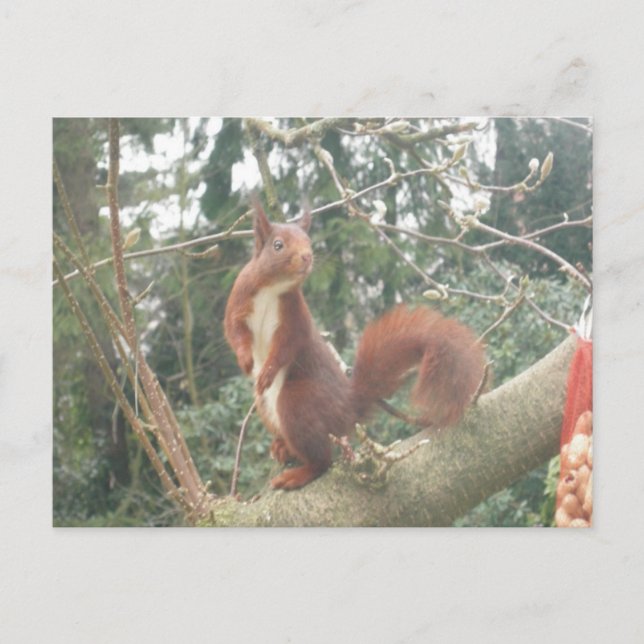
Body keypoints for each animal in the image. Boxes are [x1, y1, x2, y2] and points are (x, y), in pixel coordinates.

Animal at [224, 199, 486, 490]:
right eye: (278, 245)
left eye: (309, 241)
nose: (307, 257)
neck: (273, 289)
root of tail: (346, 409)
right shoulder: (239, 302)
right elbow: (234, 333)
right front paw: (246, 360)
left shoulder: (294, 319)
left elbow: (286, 347)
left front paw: (267, 371)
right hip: (266, 407)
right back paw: (283, 448)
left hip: (297, 402)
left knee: (322, 461)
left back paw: (297, 474)